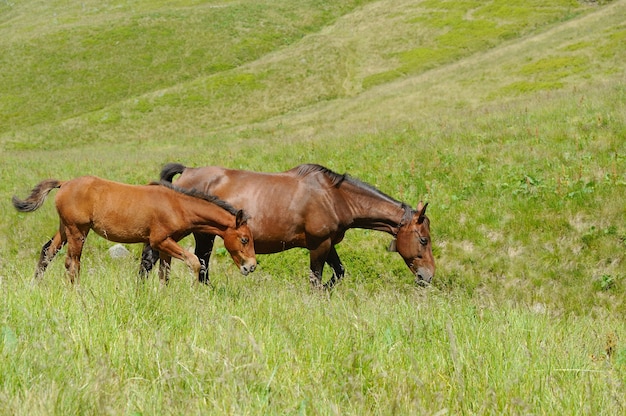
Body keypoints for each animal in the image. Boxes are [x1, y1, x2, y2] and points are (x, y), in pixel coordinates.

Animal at [10, 174, 254, 284]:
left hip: (66, 229)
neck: (177, 205)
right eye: (244, 239)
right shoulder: (159, 241)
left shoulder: (165, 245)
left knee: (47, 252)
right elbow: (194, 262)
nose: (251, 266)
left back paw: (35, 285)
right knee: (72, 263)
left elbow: (164, 274)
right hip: (78, 231)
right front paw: (195, 291)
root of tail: (64, 183)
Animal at [141, 163, 434, 290]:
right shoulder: (319, 244)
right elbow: (316, 278)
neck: (335, 197)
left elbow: (338, 272)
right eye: (423, 240)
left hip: (204, 235)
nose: (428, 276)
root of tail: (188, 171)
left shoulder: (328, 244)